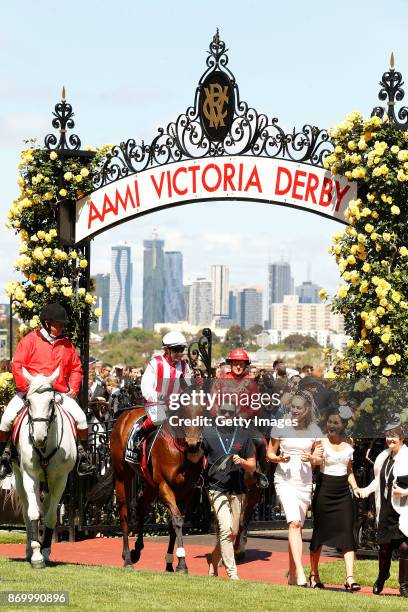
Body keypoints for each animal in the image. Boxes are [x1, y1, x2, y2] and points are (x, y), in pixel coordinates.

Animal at [7, 366, 76, 568]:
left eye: (51, 401)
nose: (38, 438)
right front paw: (36, 554)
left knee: (44, 508)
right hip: (20, 477)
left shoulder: (60, 480)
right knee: (27, 511)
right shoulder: (30, 476)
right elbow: (33, 513)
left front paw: (44, 550)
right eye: (28, 401)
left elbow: (51, 516)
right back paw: (30, 549)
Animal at [89, 394, 204, 572]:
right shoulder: (165, 486)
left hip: (150, 486)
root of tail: (123, 416)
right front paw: (182, 564)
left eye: (203, 410)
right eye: (184, 410)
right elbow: (177, 520)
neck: (180, 452)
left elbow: (174, 522)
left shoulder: (187, 491)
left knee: (141, 507)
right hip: (123, 476)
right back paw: (128, 558)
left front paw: (171, 563)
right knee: (124, 514)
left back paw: (137, 549)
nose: (193, 443)